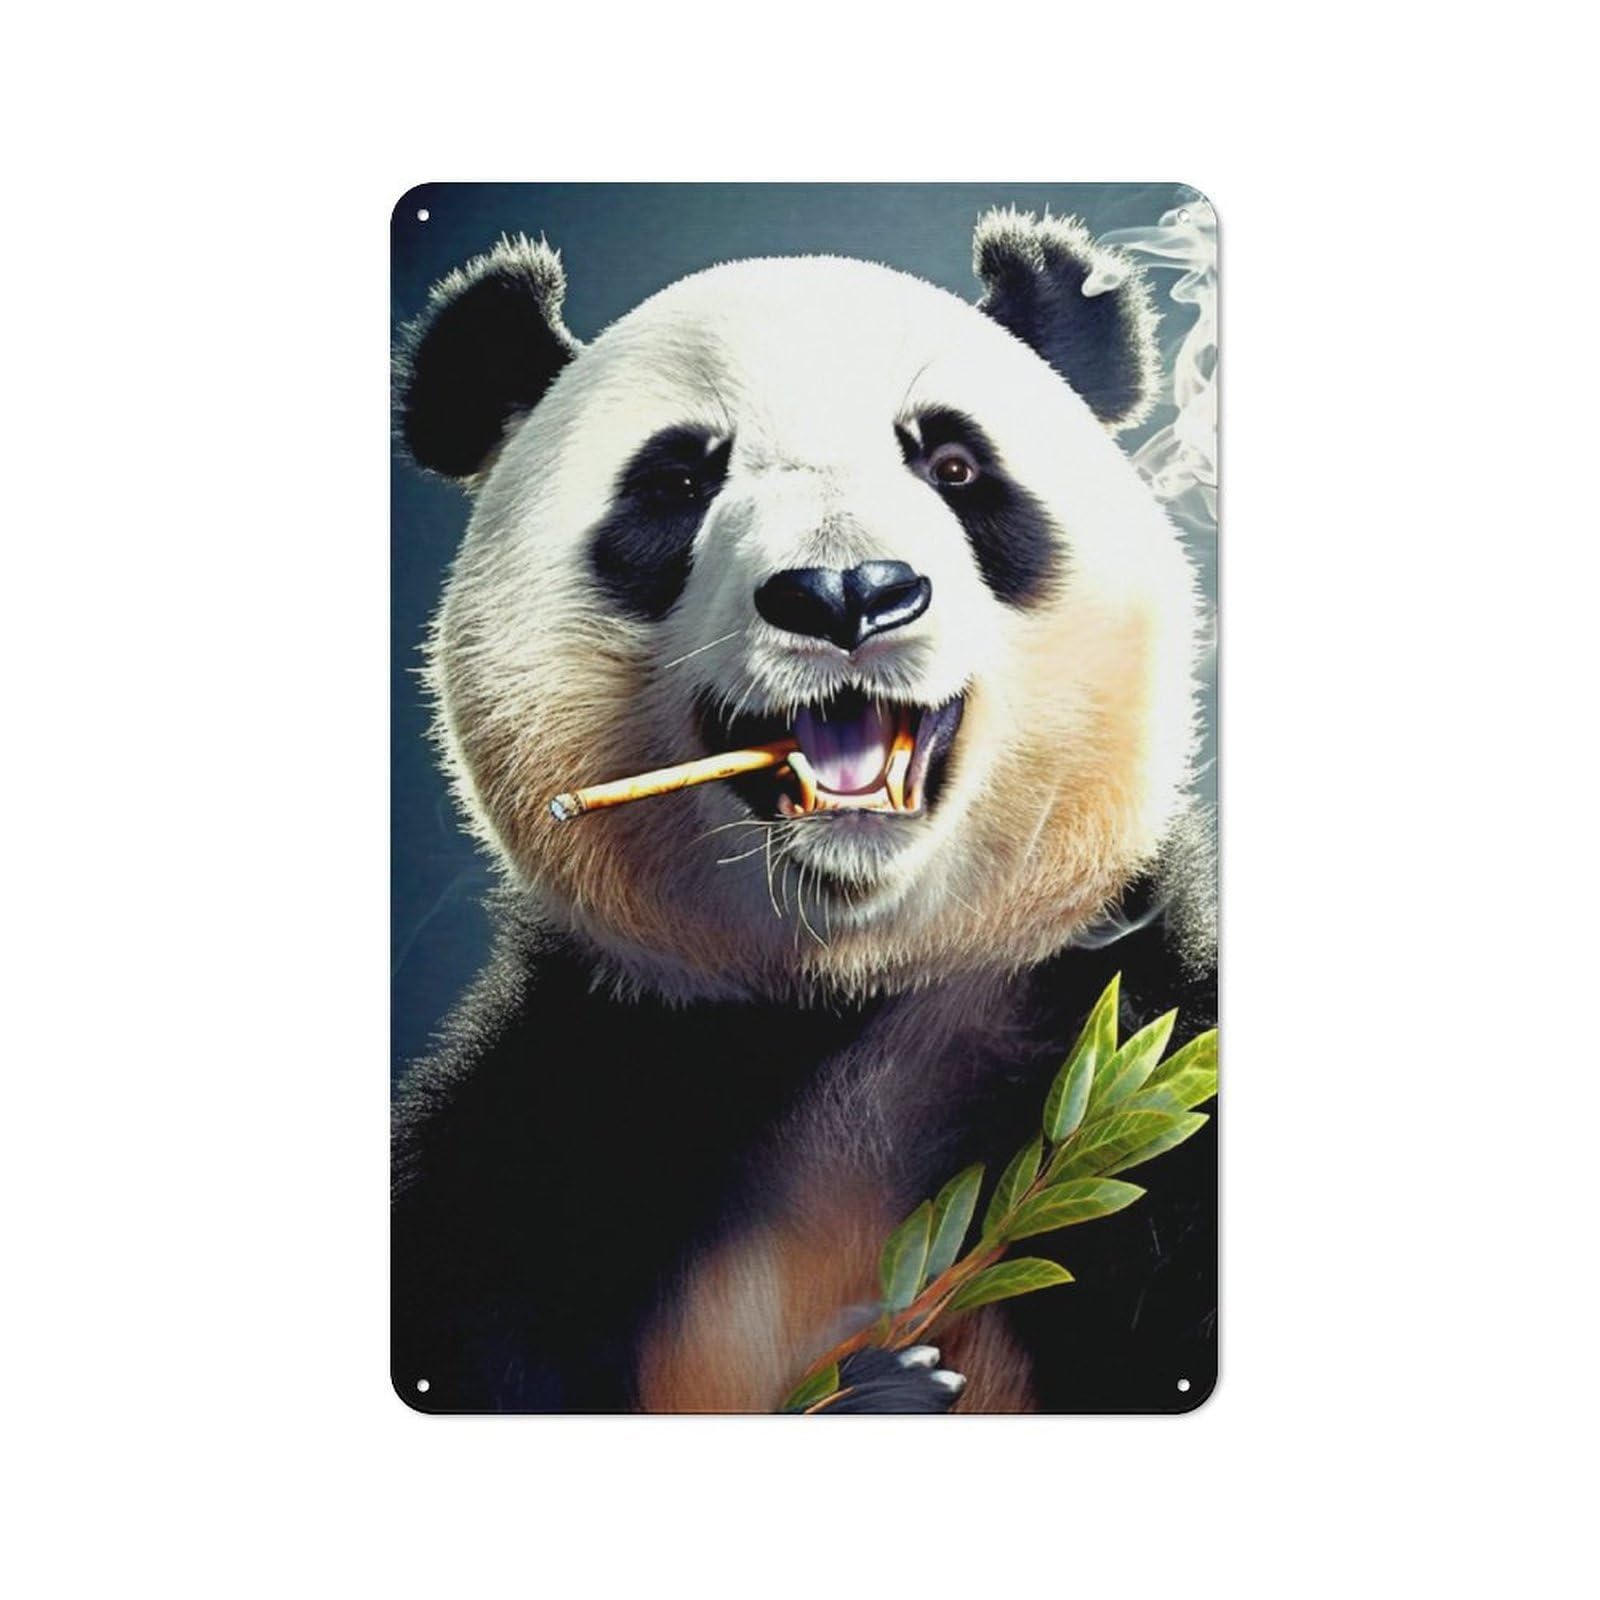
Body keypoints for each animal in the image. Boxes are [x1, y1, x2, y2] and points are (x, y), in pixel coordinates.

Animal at [392, 208, 1217, 1413]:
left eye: (953, 464)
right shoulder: (548, 1120)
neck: (839, 998)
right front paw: (885, 1385)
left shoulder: (1121, 1030)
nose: (846, 594)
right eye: (678, 482)